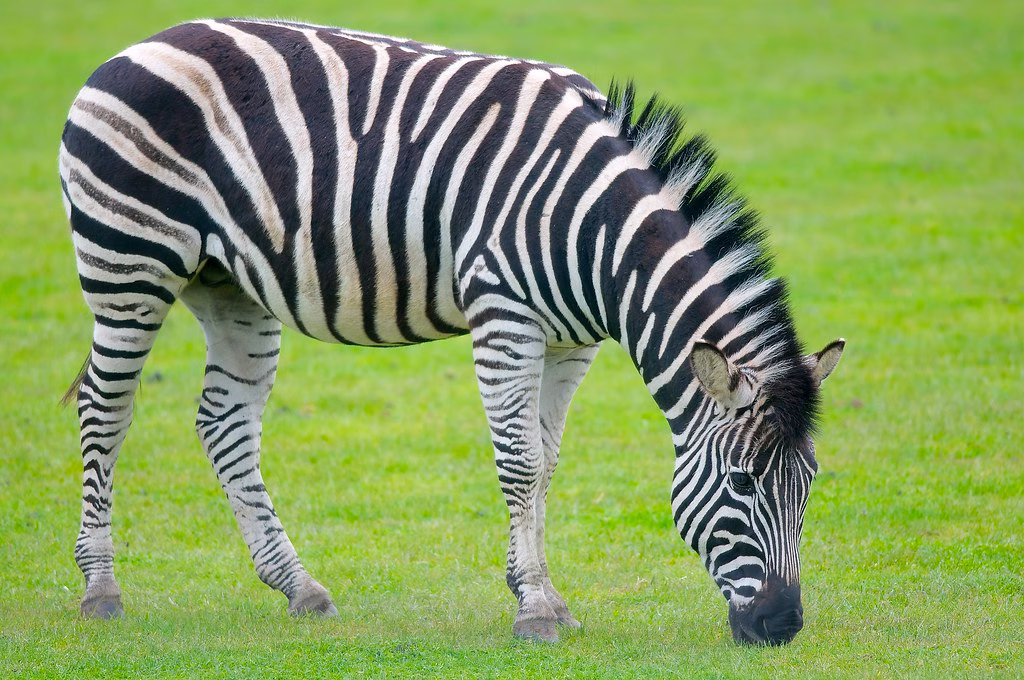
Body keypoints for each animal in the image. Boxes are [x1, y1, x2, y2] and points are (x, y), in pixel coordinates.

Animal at [58, 18, 845, 646]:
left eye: (809, 484)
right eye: (742, 483)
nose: (781, 627)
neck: (595, 235)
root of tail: (139, 45)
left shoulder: (572, 341)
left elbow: (546, 461)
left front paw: (539, 590)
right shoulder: (505, 315)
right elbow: (519, 462)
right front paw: (536, 610)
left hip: (229, 285)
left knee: (224, 421)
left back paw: (299, 587)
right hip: (129, 263)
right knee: (105, 409)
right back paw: (100, 590)